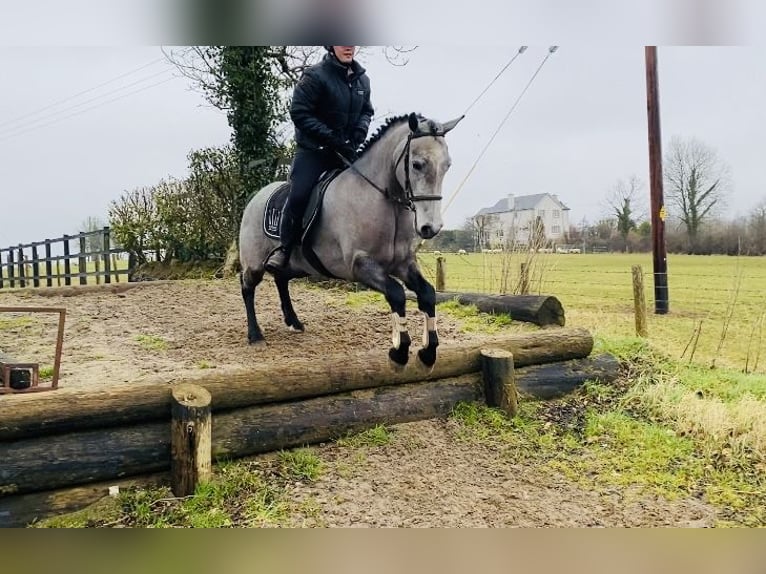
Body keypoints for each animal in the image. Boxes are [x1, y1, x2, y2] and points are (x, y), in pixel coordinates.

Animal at [237, 112, 464, 368]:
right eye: (417, 164)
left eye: (447, 165)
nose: (430, 228)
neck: (384, 200)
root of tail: (257, 196)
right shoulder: (360, 265)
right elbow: (396, 293)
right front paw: (399, 351)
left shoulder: (403, 263)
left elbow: (427, 293)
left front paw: (428, 352)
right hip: (254, 264)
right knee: (247, 288)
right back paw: (255, 335)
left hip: (296, 265)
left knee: (281, 280)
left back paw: (294, 322)